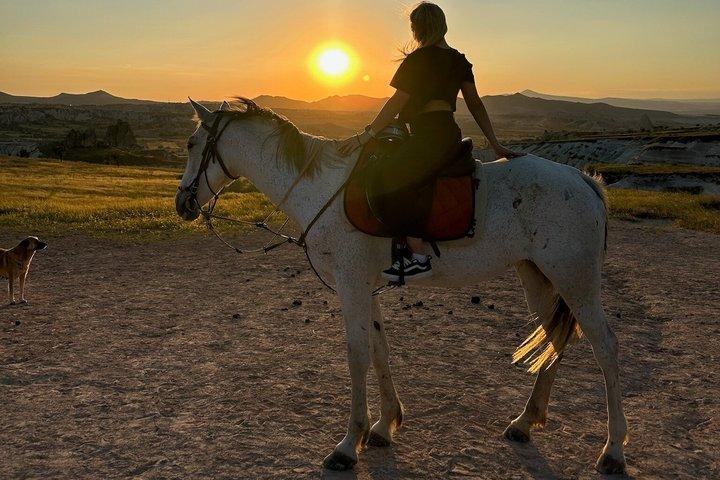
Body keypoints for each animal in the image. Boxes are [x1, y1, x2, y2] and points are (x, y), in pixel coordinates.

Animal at [175, 98, 628, 475]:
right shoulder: (366, 287)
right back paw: (525, 422)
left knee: (604, 346)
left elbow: (357, 356)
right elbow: (379, 349)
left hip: (575, 280)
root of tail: (584, 181)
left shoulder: (352, 284)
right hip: (537, 275)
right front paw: (384, 425)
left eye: (191, 143)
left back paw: (613, 451)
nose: (182, 204)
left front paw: (348, 443)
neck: (321, 189)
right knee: (555, 337)